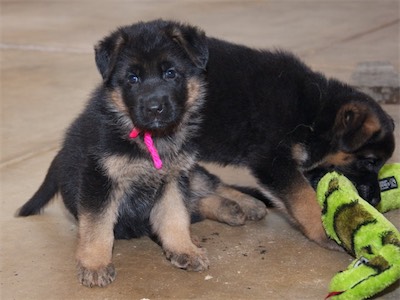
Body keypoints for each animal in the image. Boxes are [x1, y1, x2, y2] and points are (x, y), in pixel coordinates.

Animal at [17, 19, 266, 288]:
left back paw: (246, 204)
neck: (150, 138)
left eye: (171, 73)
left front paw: (184, 248)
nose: (154, 108)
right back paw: (228, 208)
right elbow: (97, 227)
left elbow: (175, 216)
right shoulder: (100, 180)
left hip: (190, 172)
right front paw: (94, 264)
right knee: (197, 202)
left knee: (210, 185)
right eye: (132, 78)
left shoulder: (174, 177)